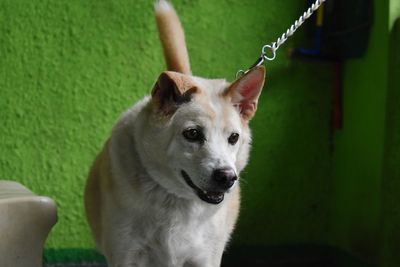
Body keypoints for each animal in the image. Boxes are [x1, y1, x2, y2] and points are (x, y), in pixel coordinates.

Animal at [84, 1, 266, 266]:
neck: (175, 200)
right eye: (192, 134)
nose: (226, 177)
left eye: (233, 138)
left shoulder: (206, 258)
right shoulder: (126, 255)